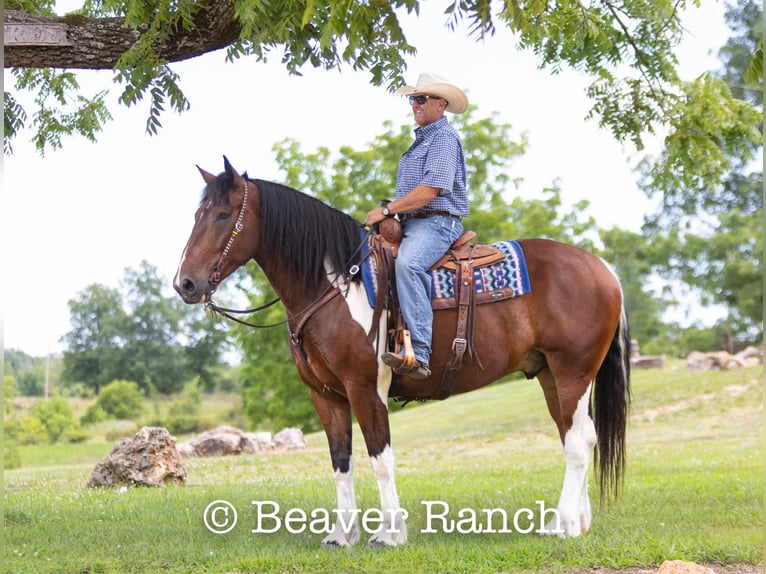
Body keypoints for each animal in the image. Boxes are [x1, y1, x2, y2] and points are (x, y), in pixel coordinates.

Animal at [174, 157, 631, 547]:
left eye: (223, 215)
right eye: (196, 216)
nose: (185, 284)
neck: (335, 285)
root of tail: (604, 269)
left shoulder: (365, 387)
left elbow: (380, 457)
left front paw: (389, 534)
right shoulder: (325, 395)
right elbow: (341, 462)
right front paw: (342, 535)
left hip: (573, 373)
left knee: (578, 442)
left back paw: (563, 525)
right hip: (550, 375)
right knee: (577, 437)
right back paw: (574, 521)